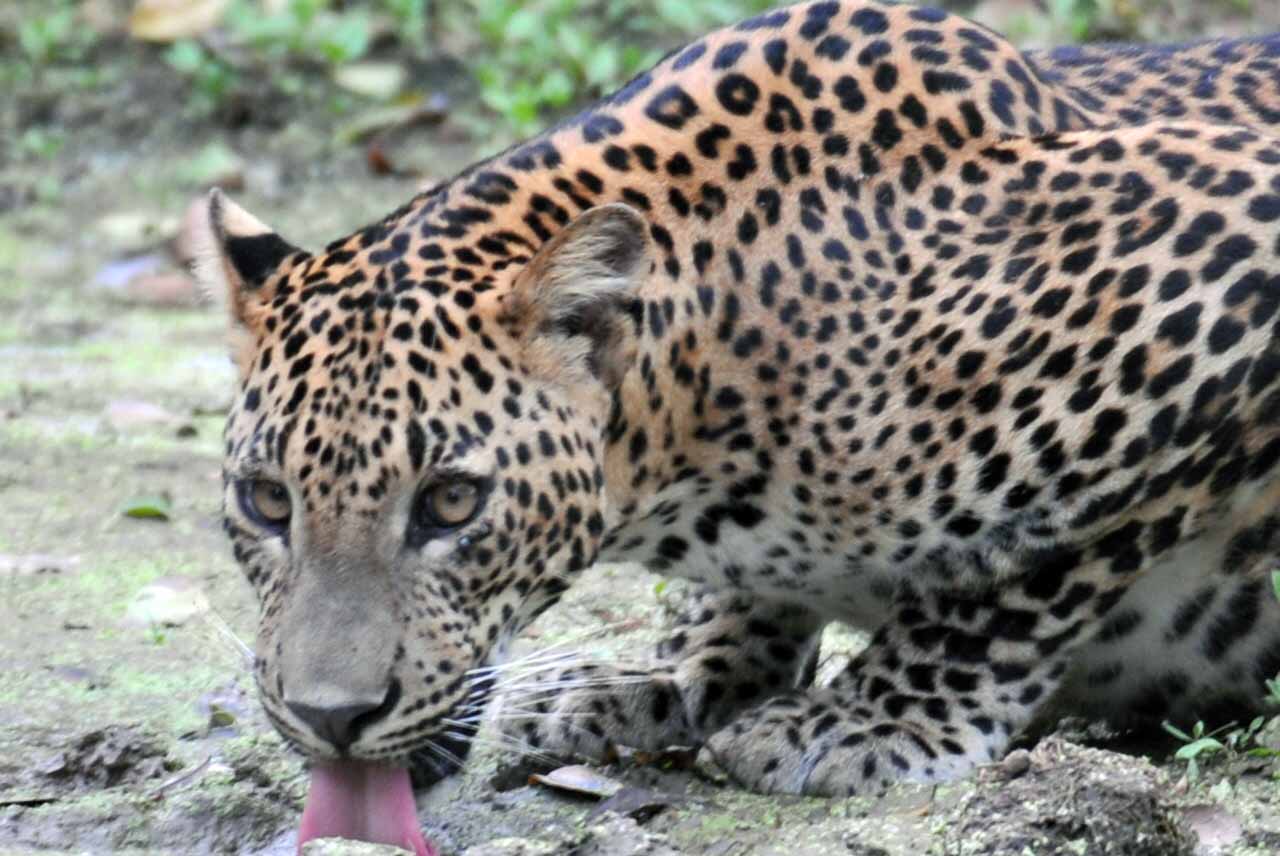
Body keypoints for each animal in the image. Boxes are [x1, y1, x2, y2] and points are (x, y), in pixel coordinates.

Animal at [196, 2, 1280, 852]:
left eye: (452, 502)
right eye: (266, 500)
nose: (331, 718)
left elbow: (1017, 574)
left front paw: (864, 717)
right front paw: (673, 670)